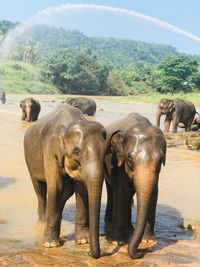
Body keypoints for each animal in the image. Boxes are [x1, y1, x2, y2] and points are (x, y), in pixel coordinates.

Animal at [23, 102, 107, 260]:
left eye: (106, 153)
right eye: (77, 152)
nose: (89, 253)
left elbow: (81, 190)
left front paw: (83, 241)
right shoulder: (49, 150)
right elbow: (55, 188)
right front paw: (50, 245)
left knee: (65, 193)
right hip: (28, 158)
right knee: (40, 190)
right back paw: (43, 221)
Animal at [104, 113, 166, 260]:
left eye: (160, 161)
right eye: (130, 160)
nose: (140, 252)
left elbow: (154, 193)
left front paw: (148, 240)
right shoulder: (118, 161)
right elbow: (122, 191)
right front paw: (117, 241)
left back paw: (130, 230)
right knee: (112, 192)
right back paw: (109, 225)